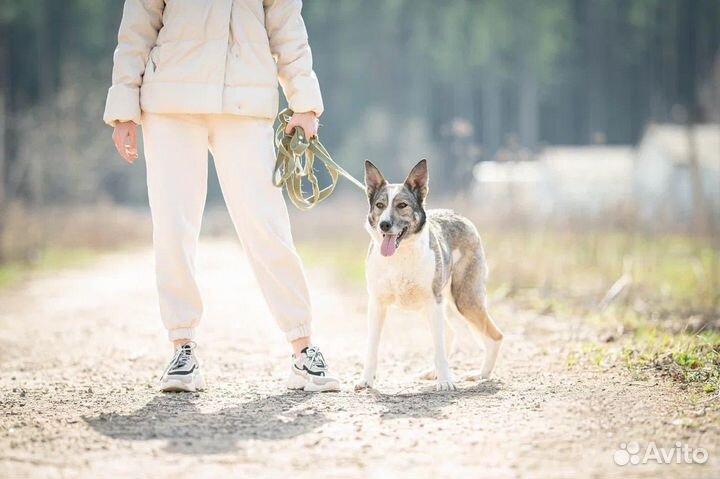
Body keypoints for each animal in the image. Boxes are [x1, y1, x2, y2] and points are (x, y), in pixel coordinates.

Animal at [352, 159, 500, 392]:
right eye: (380, 205)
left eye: (402, 205)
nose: (384, 224)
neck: (400, 255)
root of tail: (457, 215)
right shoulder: (376, 304)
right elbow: (372, 346)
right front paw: (366, 379)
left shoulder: (434, 302)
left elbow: (438, 347)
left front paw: (446, 381)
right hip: (431, 306)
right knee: (450, 333)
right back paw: (433, 373)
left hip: (463, 299)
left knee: (494, 336)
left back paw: (480, 374)